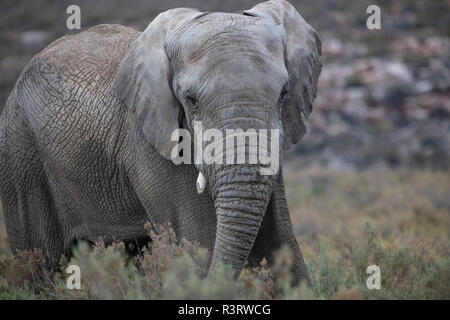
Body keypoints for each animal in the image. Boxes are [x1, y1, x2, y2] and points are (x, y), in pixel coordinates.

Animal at [0, 0, 320, 284]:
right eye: (191, 101)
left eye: (284, 94)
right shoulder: (150, 146)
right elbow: (201, 243)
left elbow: (281, 244)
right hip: (20, 157)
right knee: (39, 263)